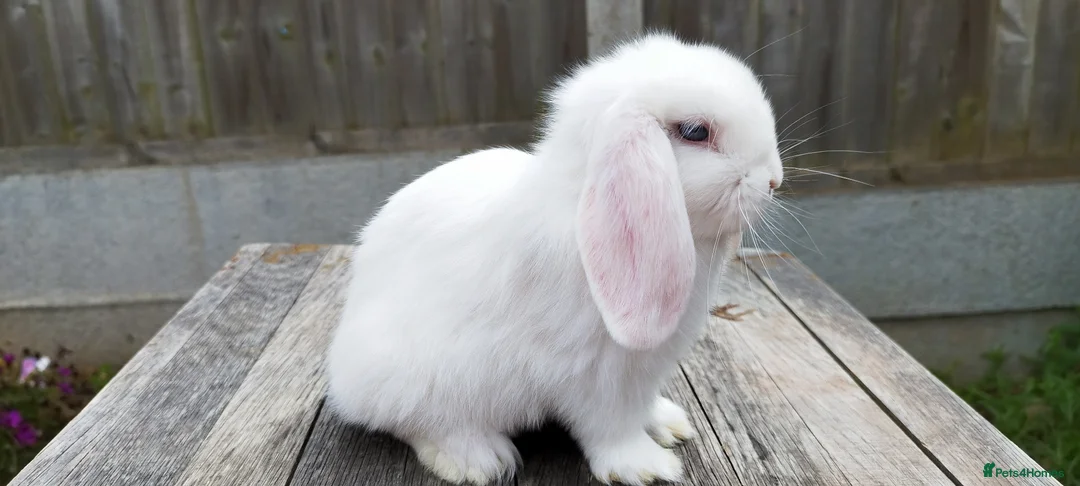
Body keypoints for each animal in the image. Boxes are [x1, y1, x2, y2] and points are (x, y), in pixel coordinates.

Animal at [326, 31, 783, 486]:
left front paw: (667, 424)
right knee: (416, 425)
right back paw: (478, 460)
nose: (774, 181)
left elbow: (642, 406)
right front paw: (647, 467)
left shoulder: (642, 372)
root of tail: (343, 369)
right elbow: (612, 425)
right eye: (695, 131)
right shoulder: (598, 374)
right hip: (416, 380)